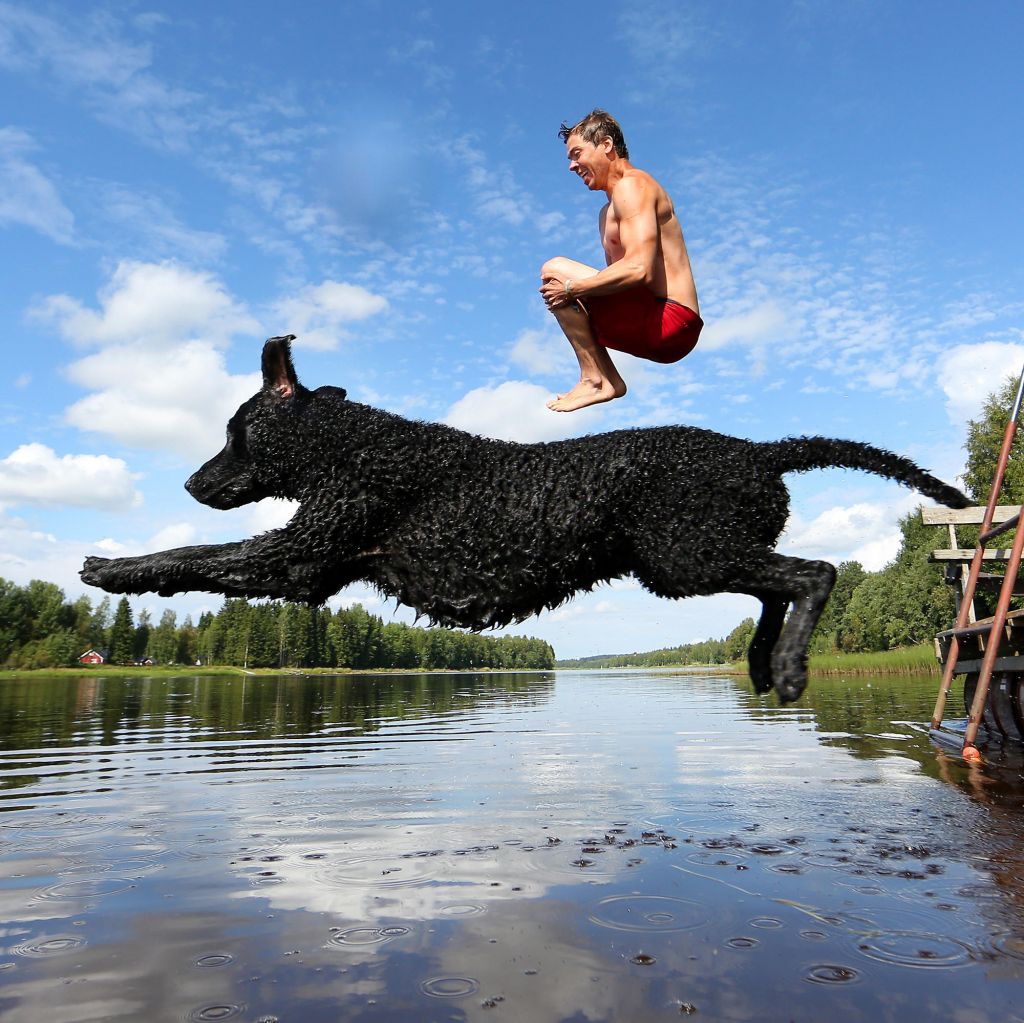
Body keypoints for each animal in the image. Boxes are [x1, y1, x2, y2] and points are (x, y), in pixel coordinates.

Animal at [79, 335, 966, 704]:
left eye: (234, 430)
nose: (191, 478)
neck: (355, 447)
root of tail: (760, 449)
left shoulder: (299, 558)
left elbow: (196, 553)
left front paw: (113, 568)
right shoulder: (313, 561)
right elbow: (204, 552)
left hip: (685, 553)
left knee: (814, 573)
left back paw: (785, 668)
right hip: (694, 555)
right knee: (776, 586)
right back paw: (760, 658)